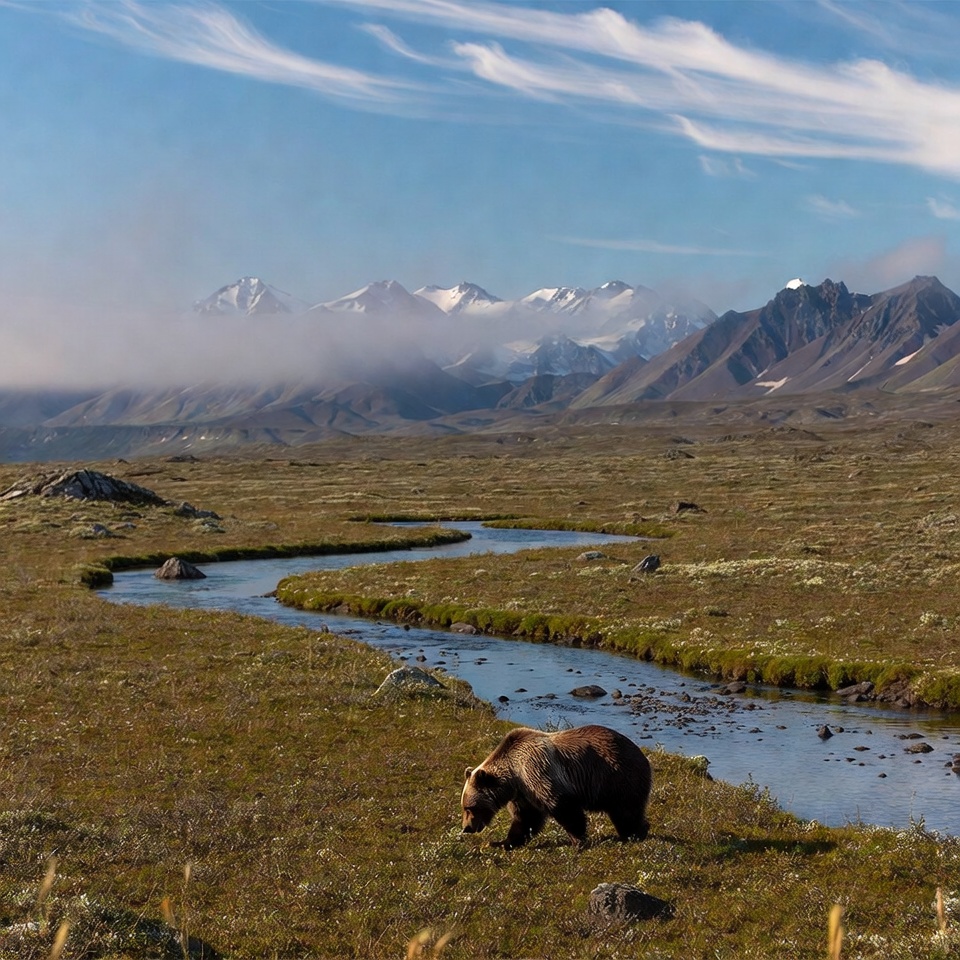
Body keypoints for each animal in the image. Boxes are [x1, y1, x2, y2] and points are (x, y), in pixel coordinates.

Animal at [461, 724, 652, 849]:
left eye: (470, 807)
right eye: (464, 807)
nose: (466, 828)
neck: (513, 777)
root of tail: (643, 756)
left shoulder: (536, 770)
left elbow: (562, 806)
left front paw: (577, 840)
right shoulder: (523, 793)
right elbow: (525, 818)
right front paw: (501, 843)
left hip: (617, 777)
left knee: (625, 811)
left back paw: (635, 833)